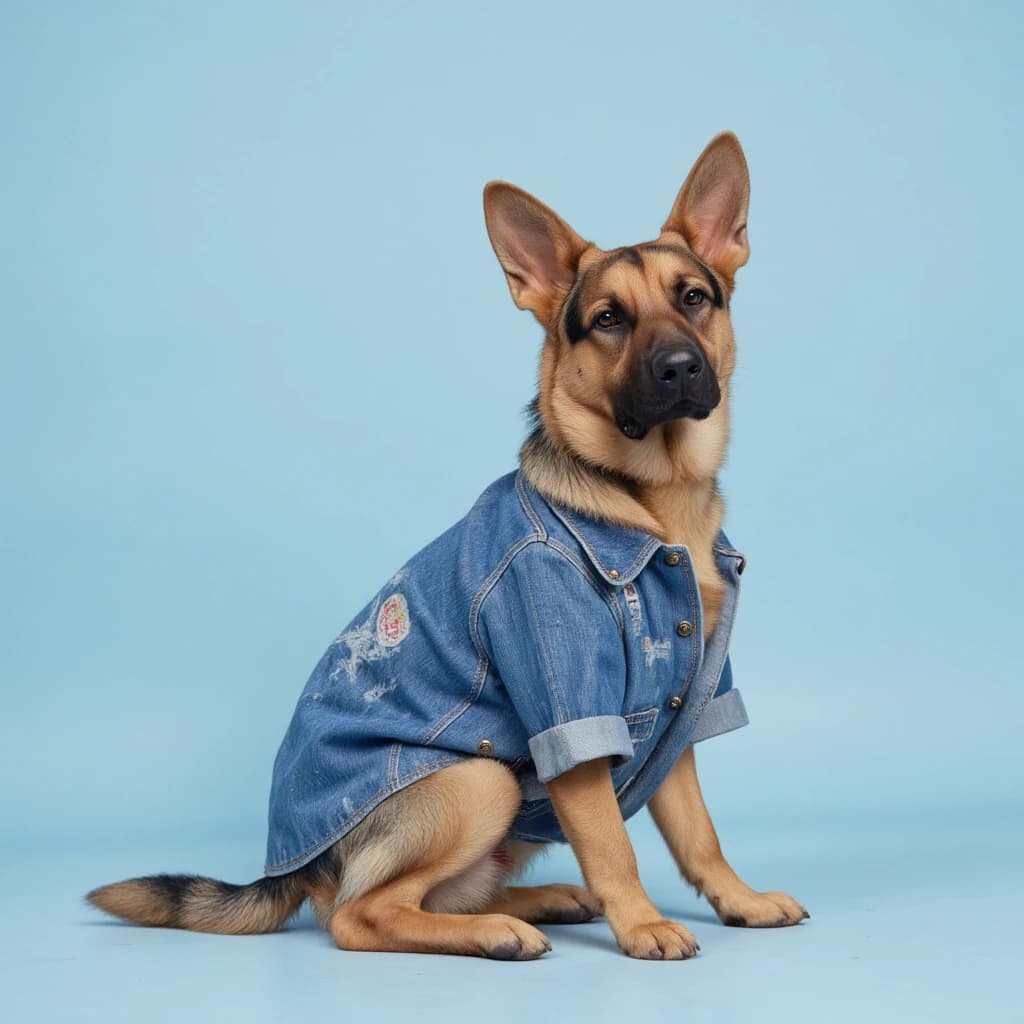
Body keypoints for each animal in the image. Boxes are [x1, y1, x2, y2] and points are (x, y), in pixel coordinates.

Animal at [88, 132, 806, 954]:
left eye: (693, 298)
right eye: (607, 319)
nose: (680, 368)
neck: (647, 502)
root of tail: (301, 869)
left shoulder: (683, 705)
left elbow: (699, 834)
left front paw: (738, 900)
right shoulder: (573, 712)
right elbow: (611, 842)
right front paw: (644, 923)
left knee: (437, 895)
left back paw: (539, 900)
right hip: (478, 782)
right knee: (360, 915)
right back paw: (497, 930)